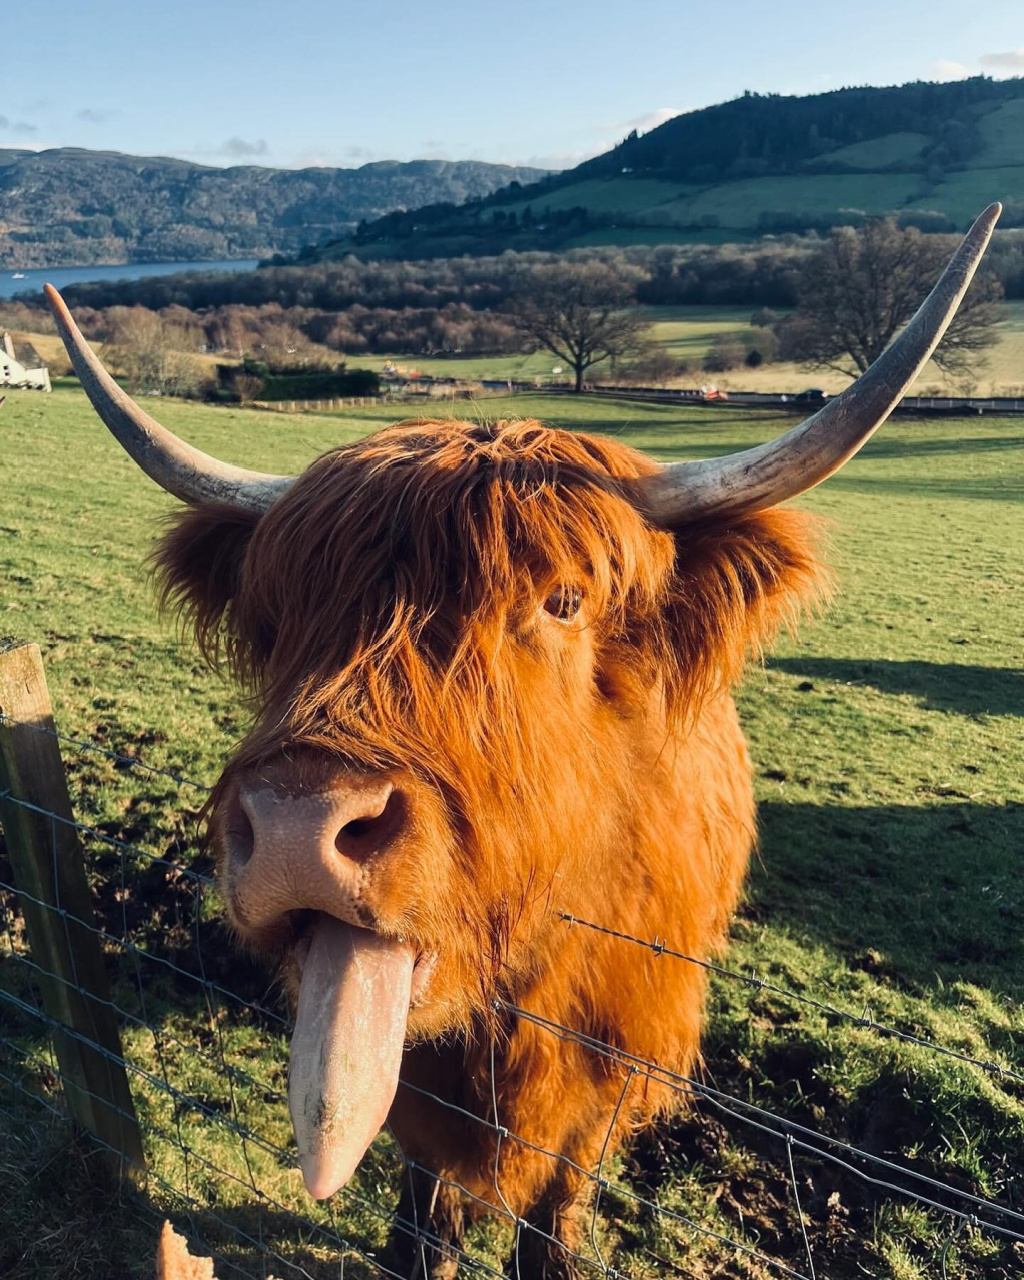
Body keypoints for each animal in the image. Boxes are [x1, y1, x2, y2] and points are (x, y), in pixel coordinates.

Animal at [47, 204, 999, 1279]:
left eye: (564, 601)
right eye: (276, 613)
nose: (296, 829)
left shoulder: (612, 1067)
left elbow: (558, 1208)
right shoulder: (420, 1092)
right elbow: (425, 1200)